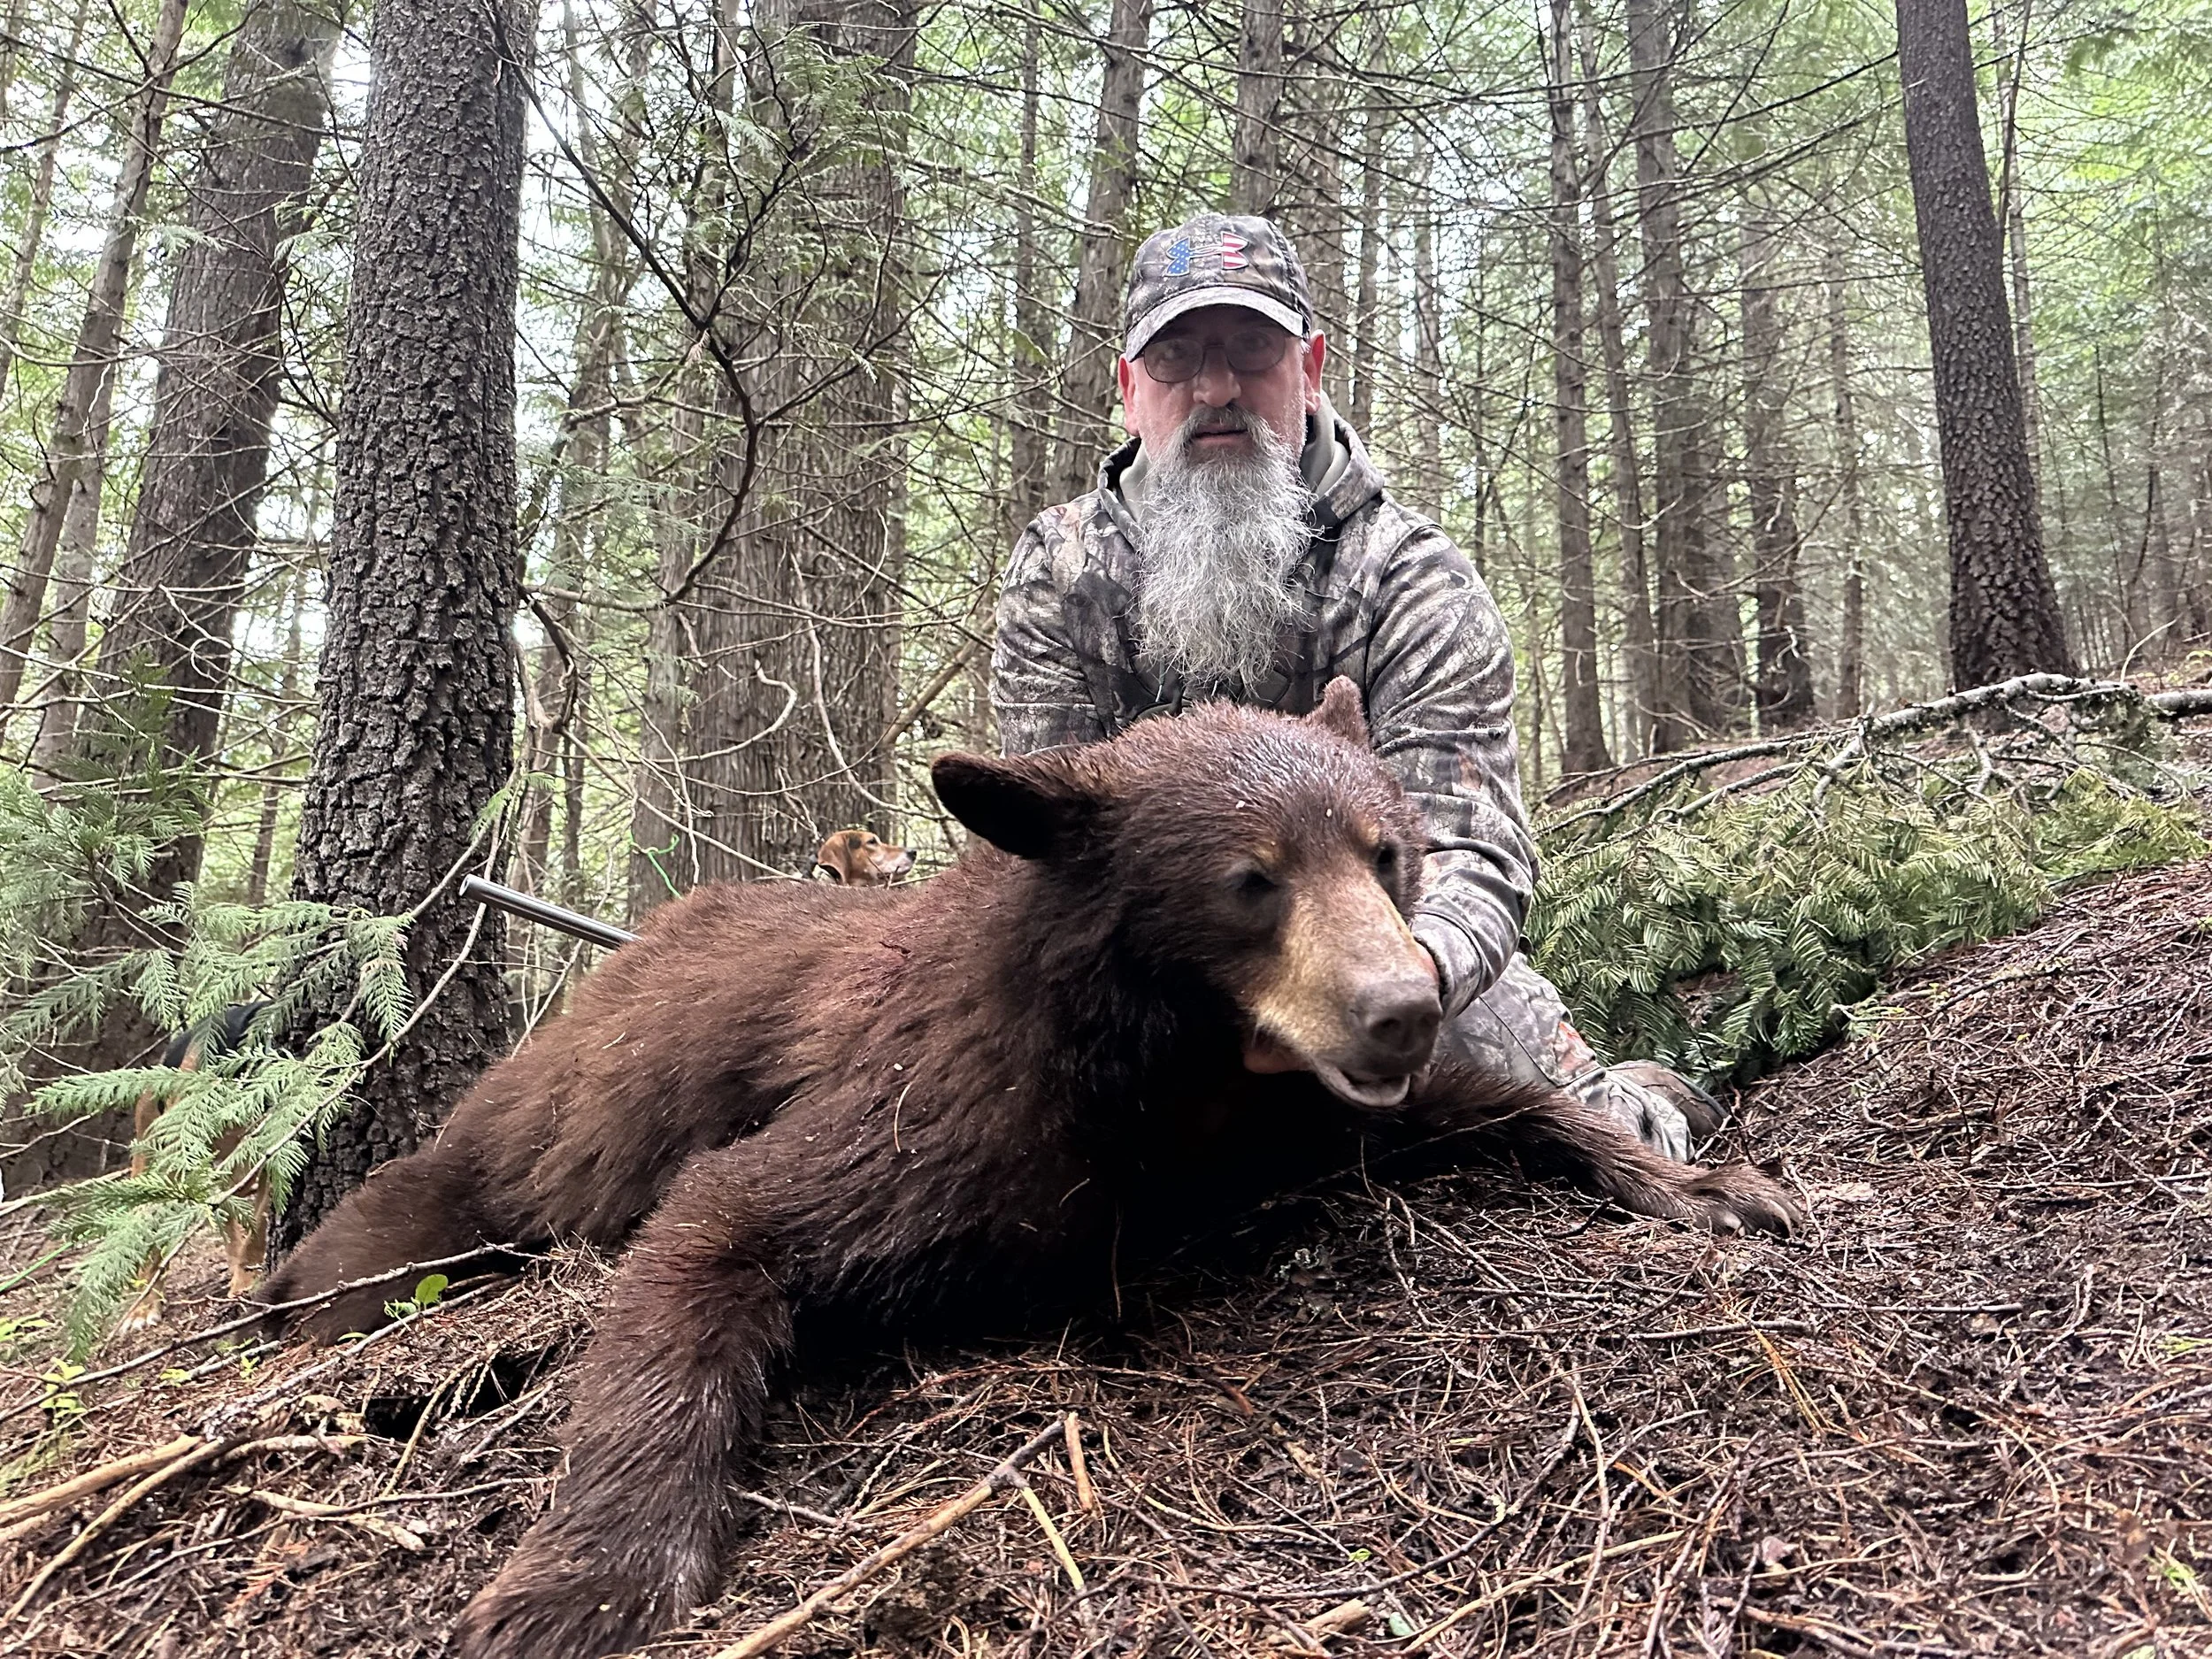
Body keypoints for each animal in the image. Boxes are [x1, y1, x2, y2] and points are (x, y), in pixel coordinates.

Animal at [259, 682, 1797, 1659]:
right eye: (1251, 879)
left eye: (1388, 851)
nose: (1400, 1007)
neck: (1179, 1073)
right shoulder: (938, 1117)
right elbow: (719, 1226)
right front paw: (583, 1578)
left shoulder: (1301, 1112)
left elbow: (1504, 1105)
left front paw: (1707, 1183)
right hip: (513, 1141)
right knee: (391, 1224)